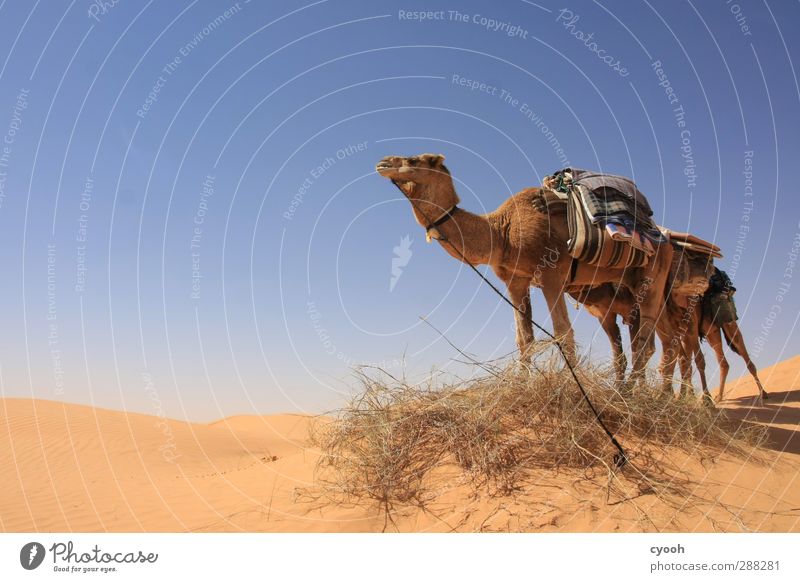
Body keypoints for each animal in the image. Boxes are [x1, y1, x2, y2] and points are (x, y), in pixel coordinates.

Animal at [378, 153, 680, 386]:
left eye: (414, 159)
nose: (383, 162)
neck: (500, 232)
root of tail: (664, 237)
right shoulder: (515, 281)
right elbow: (524, 337)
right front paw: (521, 383)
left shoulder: (551, 275)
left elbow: (563, 332)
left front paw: (571, 386)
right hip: (631, 282)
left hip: (653, 275)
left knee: (648, 344)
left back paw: (630, 394)